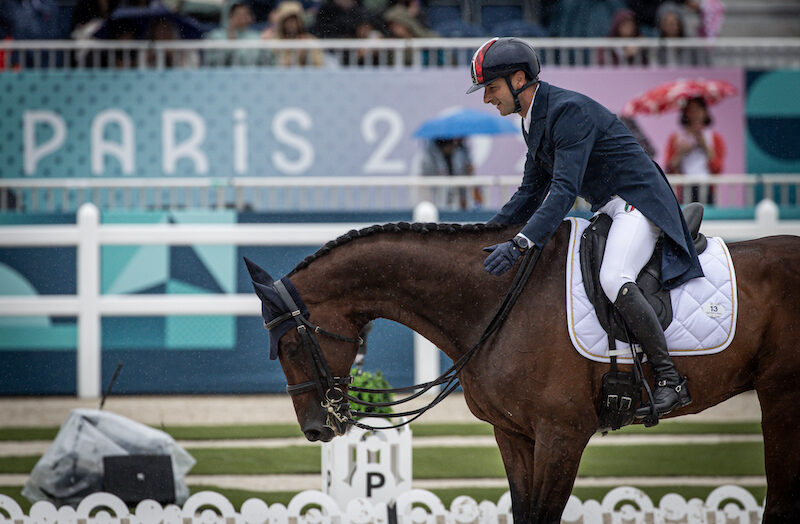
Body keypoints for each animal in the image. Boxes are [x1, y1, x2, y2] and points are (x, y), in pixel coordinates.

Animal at [245, 221, 800, 524]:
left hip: (780, 398)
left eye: (290, 343)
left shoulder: (562, 435)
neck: (496, 301)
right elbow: (523, 513)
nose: (315, 428)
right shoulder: (514, 435)